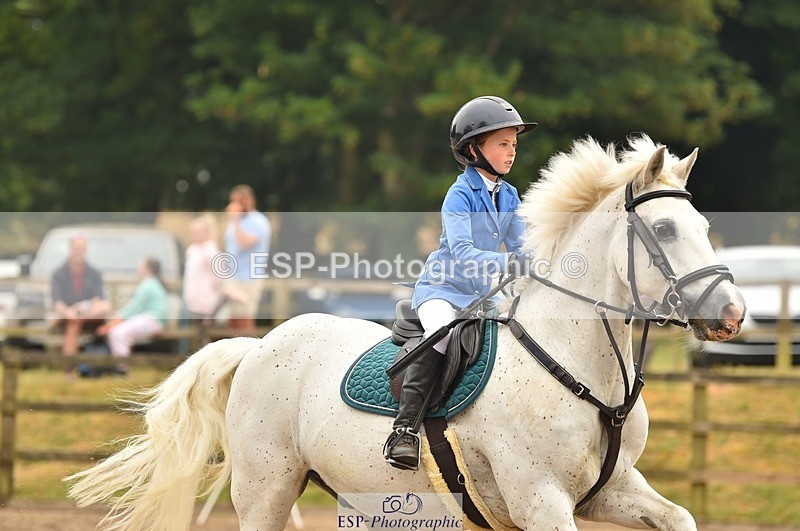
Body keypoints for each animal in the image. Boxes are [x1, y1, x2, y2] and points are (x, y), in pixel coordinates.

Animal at [66, 134, 745, 530]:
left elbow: (680, 517)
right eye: (663, 230)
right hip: (266, 487)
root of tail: (261, 344)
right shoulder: (540, 498)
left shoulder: (609, 489)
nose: (733, 312)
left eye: (706, 225)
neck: (580, 370)